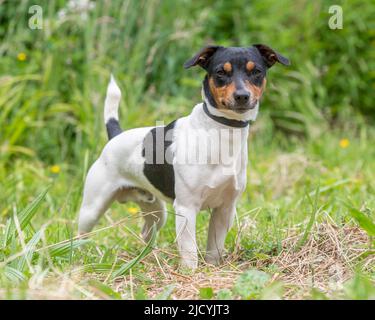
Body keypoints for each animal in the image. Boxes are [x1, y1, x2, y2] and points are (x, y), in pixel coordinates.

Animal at [78, 43, 290, 268]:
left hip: (156, 211)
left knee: (146, 231)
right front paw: (190, 272)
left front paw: (211, 269)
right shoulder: (186, 208)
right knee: (81, 235)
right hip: (92, 208)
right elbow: (189, 251)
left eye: (256, 71)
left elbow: (214, 248)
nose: (242, 96)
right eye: (220, 72)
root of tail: (115, 137)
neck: (220, 132)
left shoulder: (225, 209)